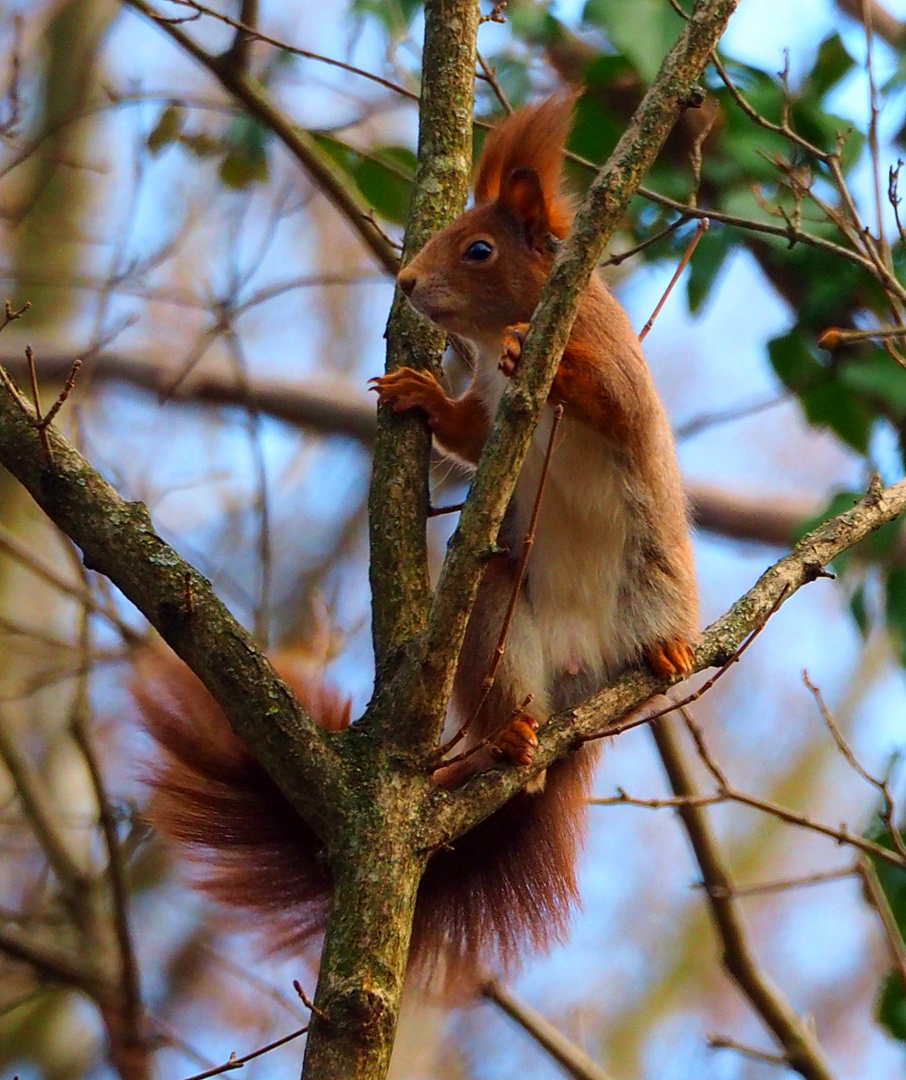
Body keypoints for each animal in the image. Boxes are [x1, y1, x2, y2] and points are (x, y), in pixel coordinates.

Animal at [138, 99, 699, 989]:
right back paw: (512, 735)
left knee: (655, 642)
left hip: (652, 585)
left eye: (480, 249)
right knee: (507, 696)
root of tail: (581, 690)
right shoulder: (488, 412)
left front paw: (543, 362)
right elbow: (467, 433)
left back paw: (669, 653)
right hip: (498, 624)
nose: (404, 285)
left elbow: (609, 397)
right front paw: (417, 394)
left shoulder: (614, 365)